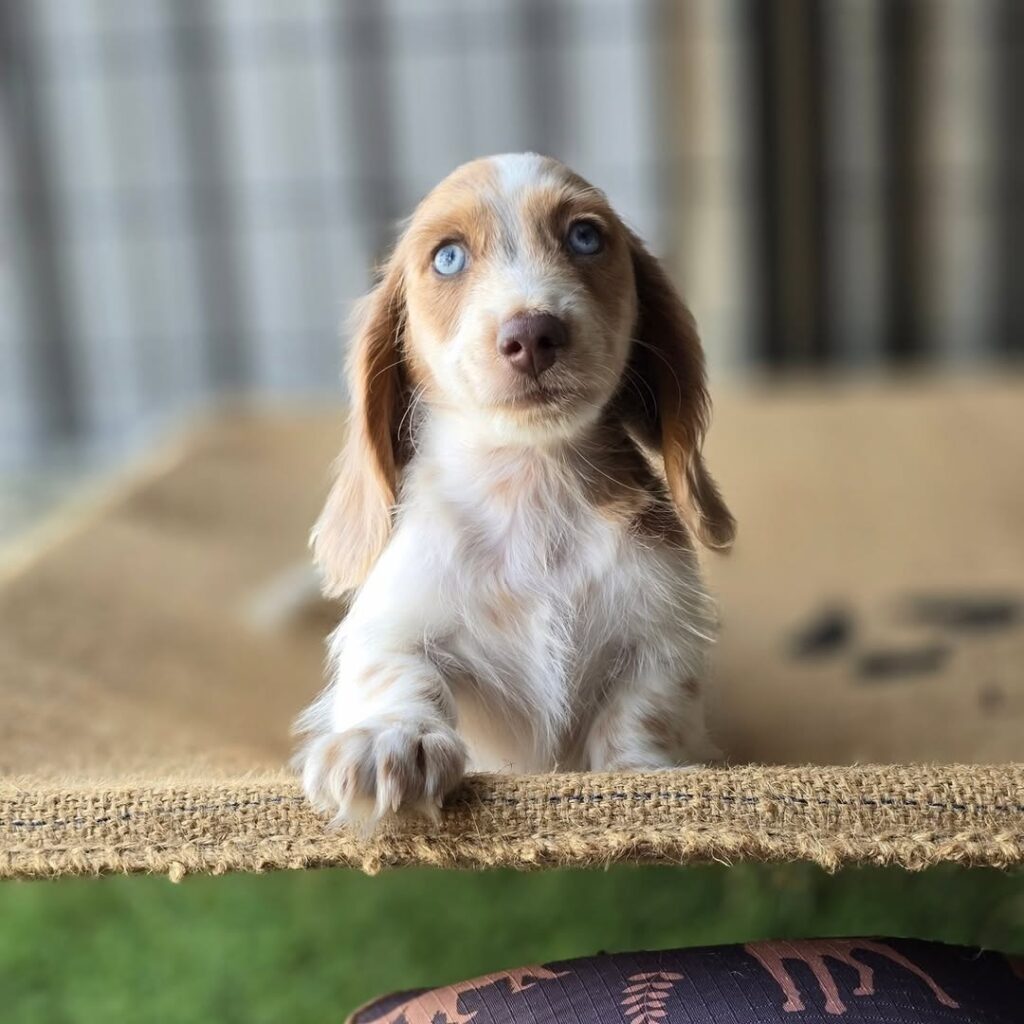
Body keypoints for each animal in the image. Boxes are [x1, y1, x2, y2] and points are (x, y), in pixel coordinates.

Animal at [295, 153, 735, 827]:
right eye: (448, 257)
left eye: (586, 236)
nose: (533, 334)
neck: (532, 489)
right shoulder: (397, 619)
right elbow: (398, 672)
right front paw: (390, 740)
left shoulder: (663, 636)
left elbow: (643, 710)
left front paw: (640, 774)